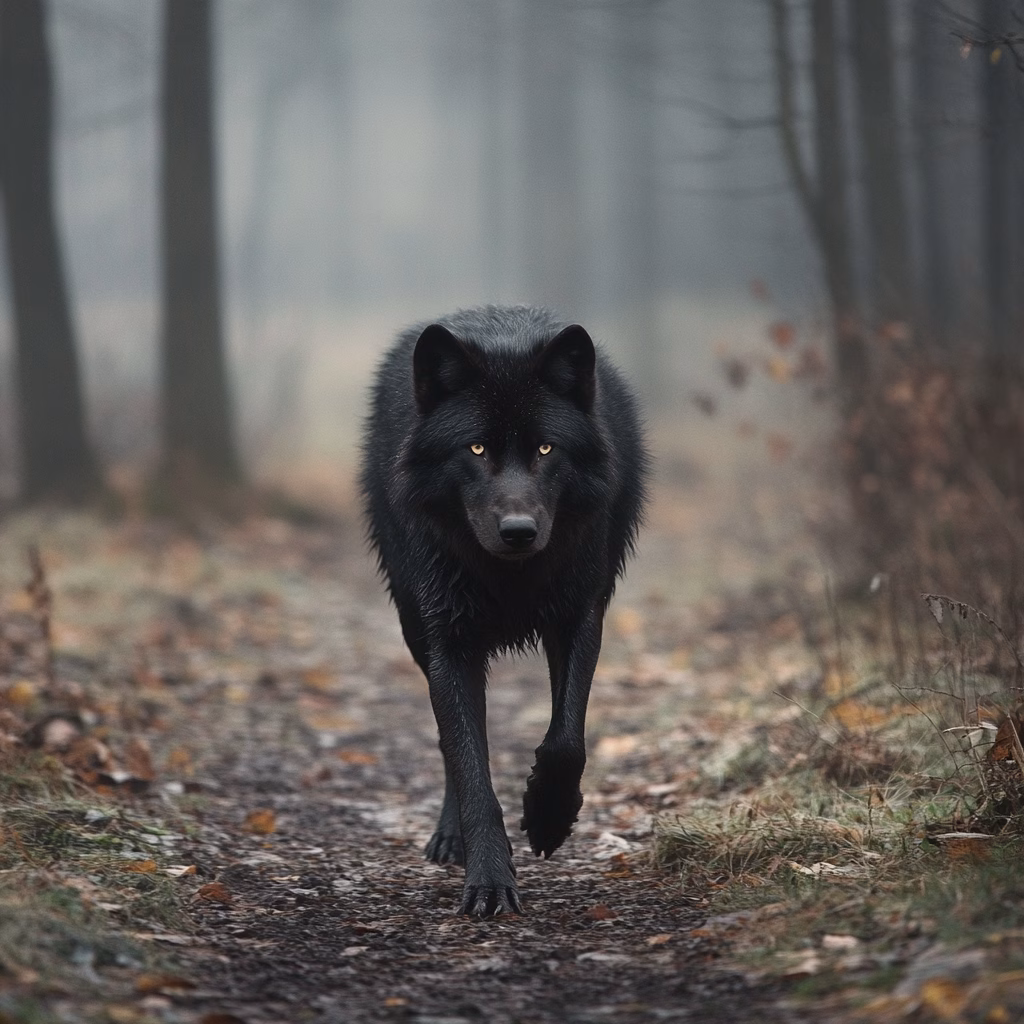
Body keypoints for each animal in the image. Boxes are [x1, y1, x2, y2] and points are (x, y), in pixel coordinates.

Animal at [360, 305, 648, 916]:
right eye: (475, 450)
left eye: (545, 449)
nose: (519, 531)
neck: (510, 576)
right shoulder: (449, 643)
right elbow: (470, 764)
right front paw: (489, 878)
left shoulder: (579, 618)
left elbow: (566, 741)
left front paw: (547, 818)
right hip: (414, 628)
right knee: (453, 745)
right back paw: (452, 839)